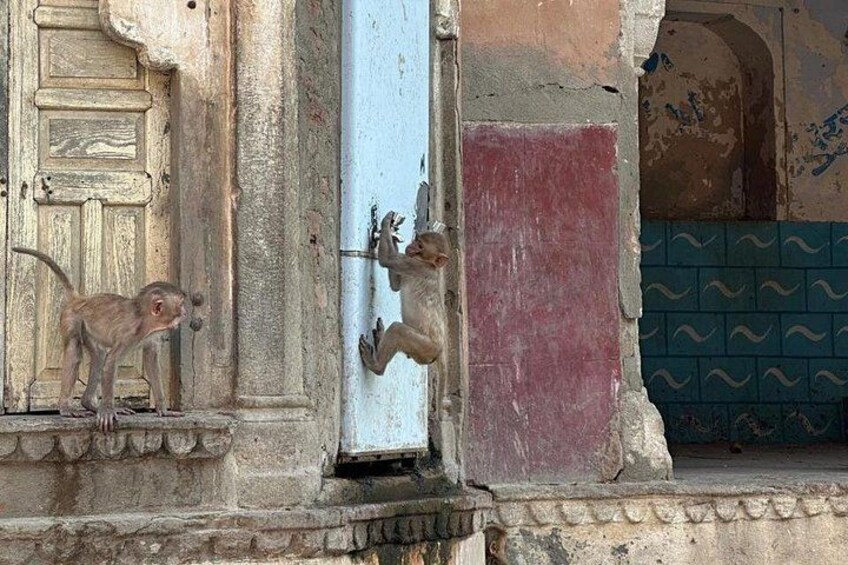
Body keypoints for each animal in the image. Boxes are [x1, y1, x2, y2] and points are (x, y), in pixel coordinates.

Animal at [13, 247, 187, 432]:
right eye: (181, 304)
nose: (185, 313)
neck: (143, 318)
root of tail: (80, 299)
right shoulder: (128, 334)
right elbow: (111, 362)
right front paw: (107, 410)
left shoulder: (151, 335)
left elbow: (151, 360)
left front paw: (163, 409)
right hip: (71, 318)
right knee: (75, 350)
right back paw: (66, 408)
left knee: (98, 355)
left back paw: (89, 403)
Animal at [358, 211, 449, 376]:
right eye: (416, 240)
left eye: (420, 245)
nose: (410, 245)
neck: (429, 264)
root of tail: (437, 354)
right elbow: (395, 286)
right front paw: (393, 233)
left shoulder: (412, 265)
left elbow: (387, 259)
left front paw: (386, 222)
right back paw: (380, 338)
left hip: (424, 346)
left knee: (398, 330)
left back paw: (376, 365)